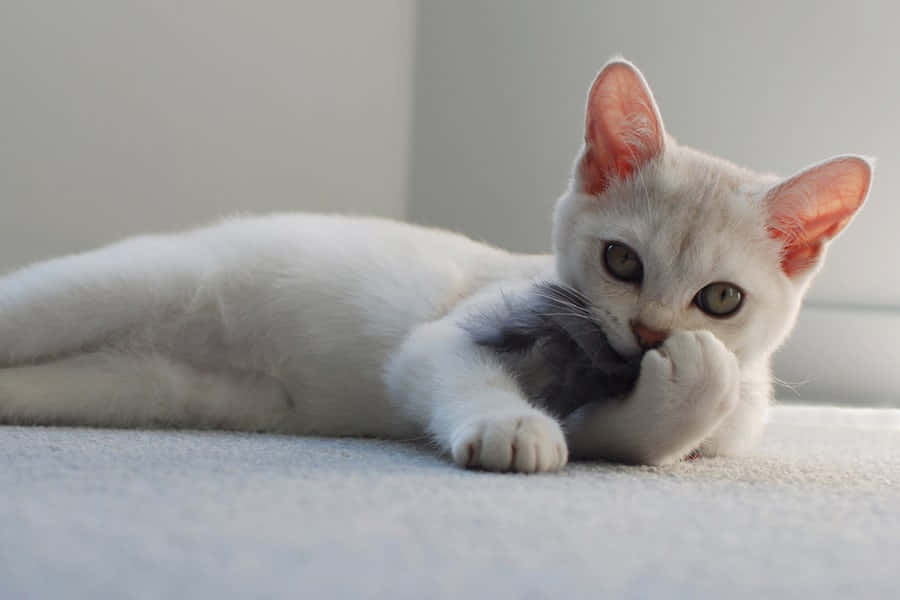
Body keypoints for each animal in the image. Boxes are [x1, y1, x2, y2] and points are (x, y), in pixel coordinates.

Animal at [0, 59, 872, 474]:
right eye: (622, 260)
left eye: (721, 299)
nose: (653, 330)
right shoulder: (452, 332)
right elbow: (450, 367)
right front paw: (509, 424)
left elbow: (629, 437)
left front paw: (688, 385)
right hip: (122, 286)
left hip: (148, 387)